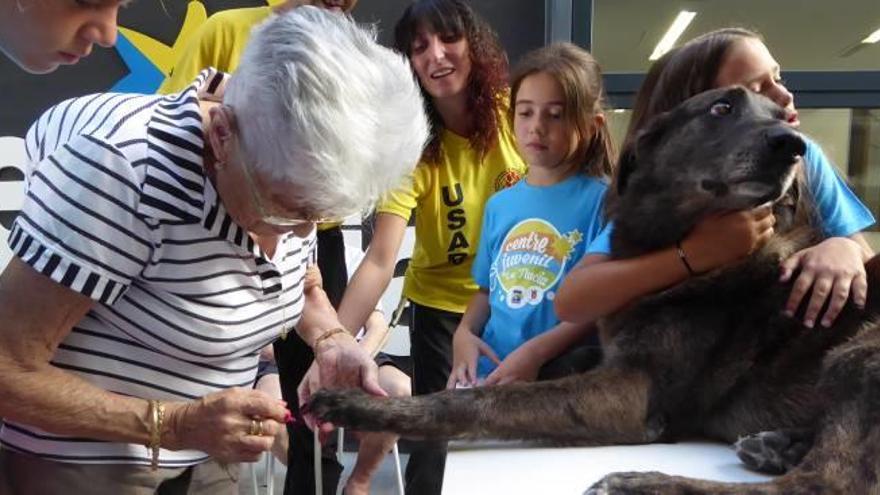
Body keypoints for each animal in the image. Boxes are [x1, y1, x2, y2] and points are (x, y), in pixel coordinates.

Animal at [310, 87, 880, 494]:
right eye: (722, 107)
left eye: (786, 118)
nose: (793, 145)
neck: (674, 250)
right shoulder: (609, 352)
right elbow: (561, 356)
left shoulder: (633, 393)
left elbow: (485, 399)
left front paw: (365, 407)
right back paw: (778, 446)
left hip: (856, 353)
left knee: (824, 484)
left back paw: (643, 484)